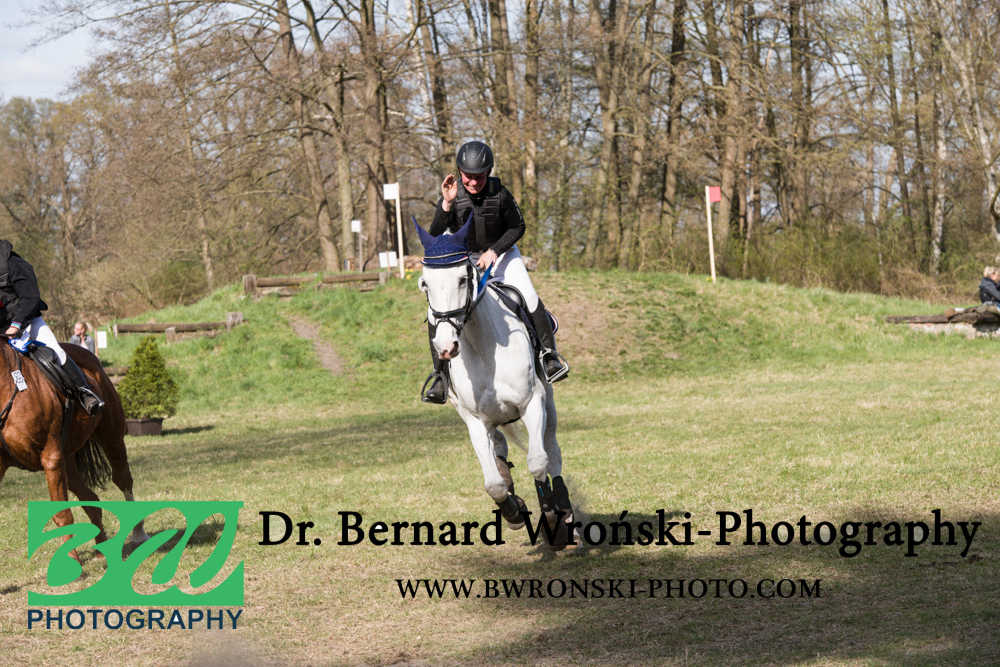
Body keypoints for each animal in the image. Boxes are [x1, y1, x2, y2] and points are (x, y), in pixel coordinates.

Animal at [0, 339, 149, 566]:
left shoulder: (51, 457)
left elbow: (62, 514)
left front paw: (71, 565)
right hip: (68, 461)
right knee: (92, 500)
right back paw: (100, 551)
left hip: (111, 437)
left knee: (123, 479)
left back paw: (138, 534)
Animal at [415, 218, 578, 550]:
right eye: (425, 284)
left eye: (463, 279)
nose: (446, 347)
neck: (482, 346)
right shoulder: (476, 420)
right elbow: (494, 484)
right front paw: (514, 511)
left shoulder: (532, 403)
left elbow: (538, 462)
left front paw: (552, 520)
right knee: (500, 449)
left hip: (548, 403)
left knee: (552, 450)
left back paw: (565, 510)